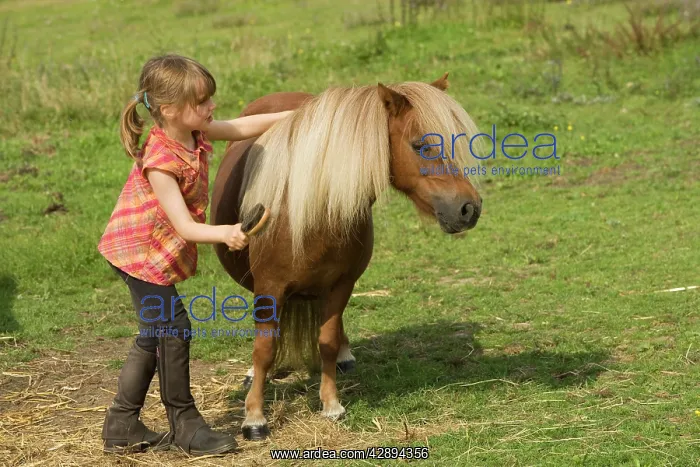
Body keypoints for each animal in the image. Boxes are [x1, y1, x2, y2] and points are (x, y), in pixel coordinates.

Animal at [209, 73, 482, 440]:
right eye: (421, 145)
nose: (469, 208)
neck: (309, 212)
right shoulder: (270, 289)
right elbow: (264, 349)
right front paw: (254, 417)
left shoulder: (341, 285)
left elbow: (326, 340)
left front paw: (331, 405)